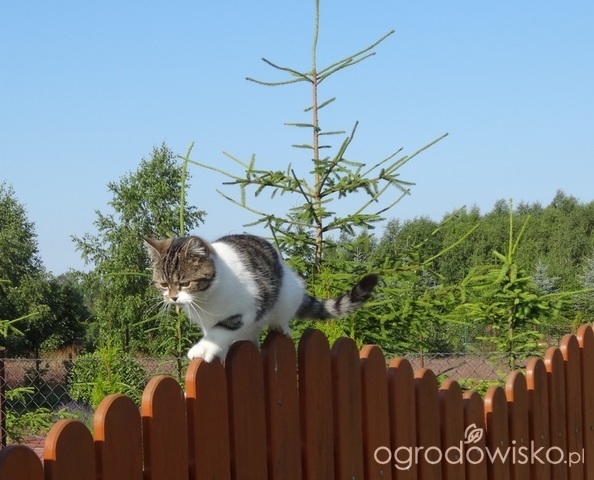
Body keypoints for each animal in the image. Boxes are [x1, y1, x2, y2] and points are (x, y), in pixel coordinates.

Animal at [144, 234, 378, 362]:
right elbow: (213, 332)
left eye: (185, 283)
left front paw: (203, 349)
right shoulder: (205, 322)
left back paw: (280, 326)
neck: (205, 300)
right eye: (163, 284)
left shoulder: (244, 311)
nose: (173, 298)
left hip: (288, 293)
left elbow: (219, 331)